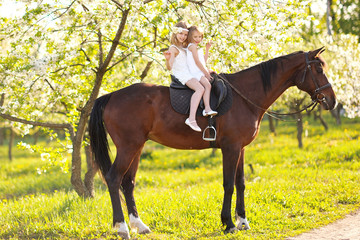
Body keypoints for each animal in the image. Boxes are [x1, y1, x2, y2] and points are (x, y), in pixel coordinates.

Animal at [88, 47, 336, 238]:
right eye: (319, 69)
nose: (332, 101)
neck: (245, 97)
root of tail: (111, 96)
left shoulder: (240, 149)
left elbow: (240, 183)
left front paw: (242, 221)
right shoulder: (230, 148)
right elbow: (228, 184)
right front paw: (228, 223)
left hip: (137, 148)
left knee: (127, 183)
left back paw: (139, 225)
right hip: (128, 147)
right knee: (114, 179)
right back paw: (122, 227)